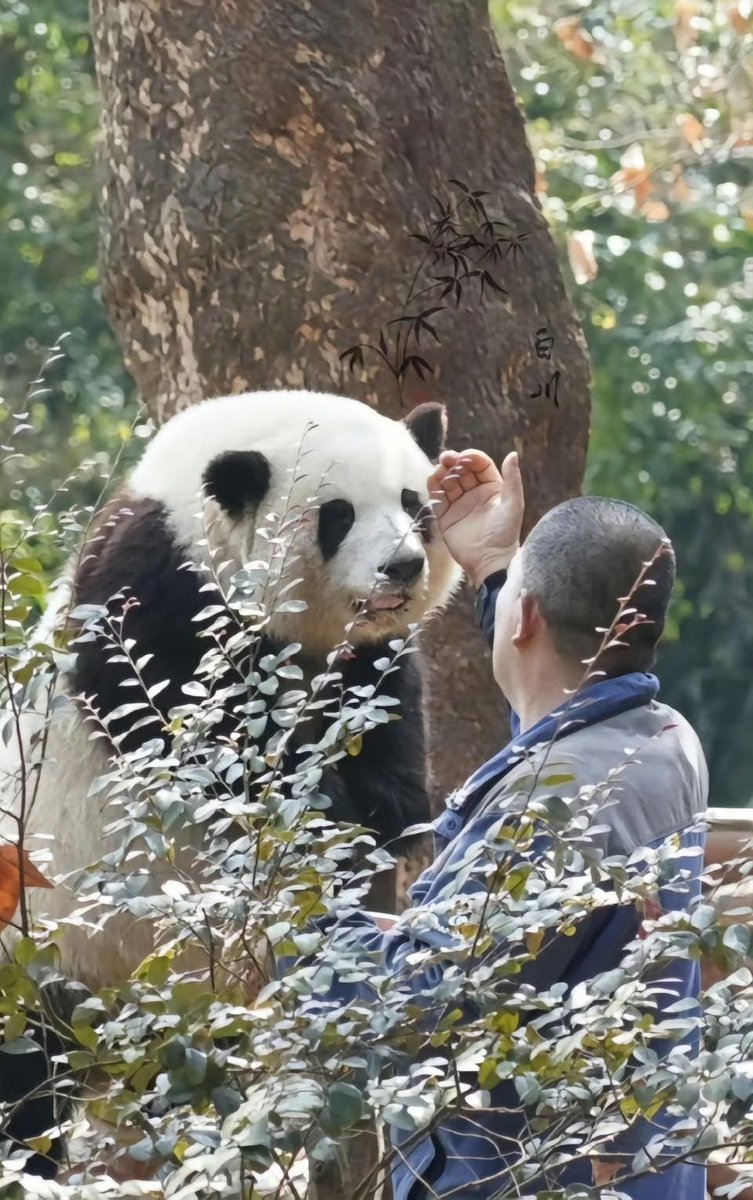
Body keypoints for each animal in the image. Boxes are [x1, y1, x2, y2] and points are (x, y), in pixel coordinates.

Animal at [0, 389, 460, 1176]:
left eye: (413, 502)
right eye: (338, 515)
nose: (402, 566)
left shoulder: (366, 658)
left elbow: (385, 715)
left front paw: (379, 808)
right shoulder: (155, 596)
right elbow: (193, 740)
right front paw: (325, 809)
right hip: (36, 951)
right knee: (26, 1075)